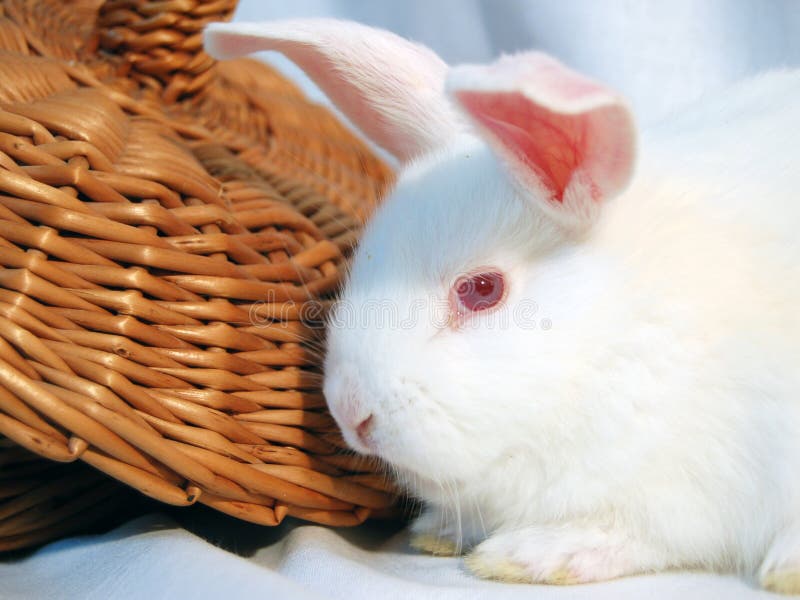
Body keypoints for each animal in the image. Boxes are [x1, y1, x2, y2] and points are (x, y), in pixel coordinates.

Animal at [205, 19, 800, 592]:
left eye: (483, 289)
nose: (351, 414)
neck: (620, 334)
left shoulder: (687, 494)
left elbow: (629, 534)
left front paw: (529, 555)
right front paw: (442, 532)